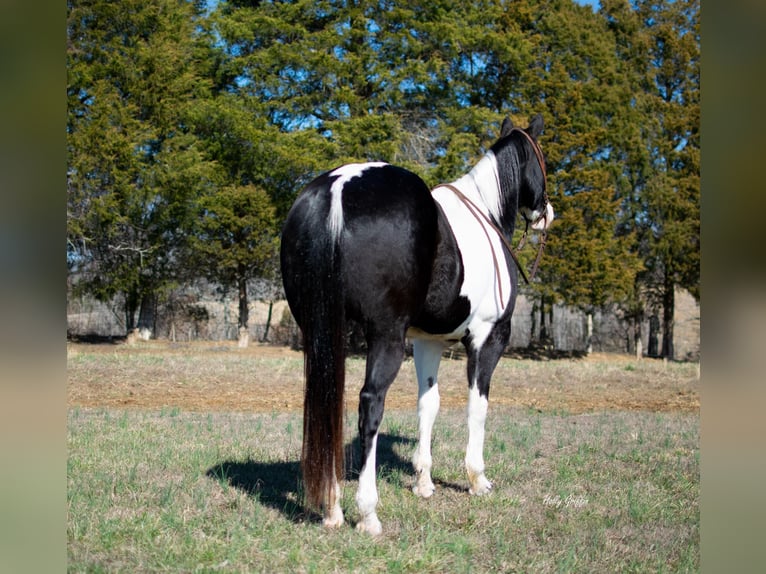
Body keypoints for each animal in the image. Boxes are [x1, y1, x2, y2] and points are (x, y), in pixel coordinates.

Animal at [280, 116, 556, 536]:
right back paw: (367, 513)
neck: (487, 215)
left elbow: (429, 403)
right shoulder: (489, 337)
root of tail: (339, 187)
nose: (546, 212)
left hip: (321, 336)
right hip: (385, 337)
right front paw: (477, 479)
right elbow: (477, 405)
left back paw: (332, 508)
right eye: (542, 161)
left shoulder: (429, 342)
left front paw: (423, 482)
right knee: (370, 404)